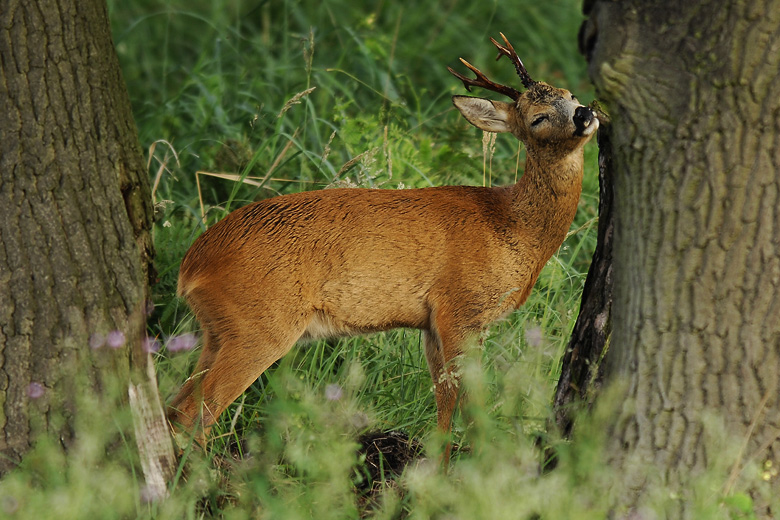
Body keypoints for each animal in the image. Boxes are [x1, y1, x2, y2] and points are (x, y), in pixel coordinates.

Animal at [169, 33, 596, 450]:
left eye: (570, 94)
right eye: (537, 117)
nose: (584, 114)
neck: (512, 226)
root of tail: (191, 265)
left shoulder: (431, 324)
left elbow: (448, 408)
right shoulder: (460, 309)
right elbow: (465, 406)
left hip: (217, 329)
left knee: (177, 405)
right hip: (260, 325)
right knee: (195, 412)